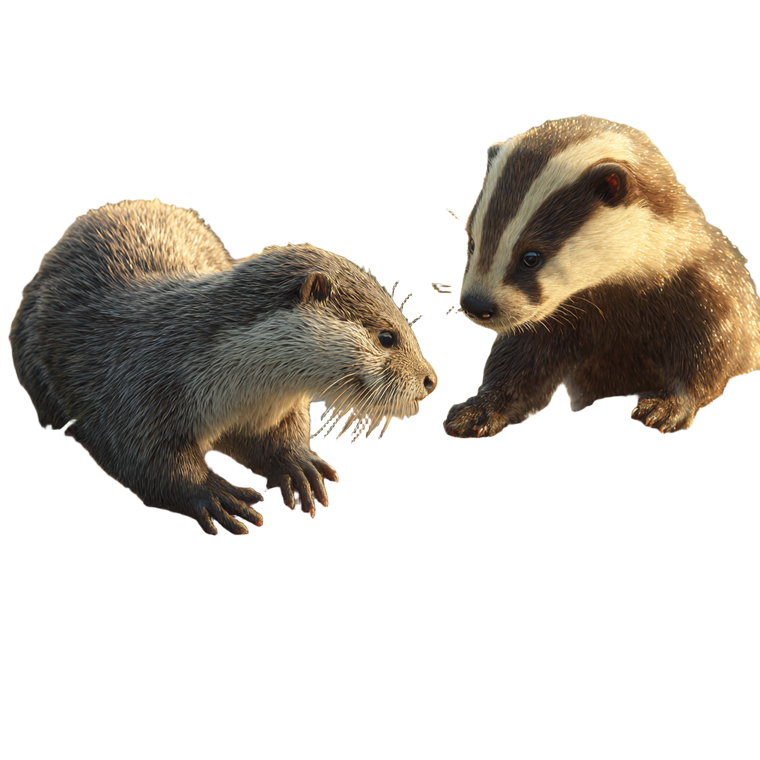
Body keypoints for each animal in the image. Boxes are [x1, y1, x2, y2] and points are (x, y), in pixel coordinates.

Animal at [8, 196, 439, 536]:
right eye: (387, 337)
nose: (431, 380)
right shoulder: (137, 385)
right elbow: (146, 458)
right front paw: (214, 494)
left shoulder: (268, 407)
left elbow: (277, 437)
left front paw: (297, 464)